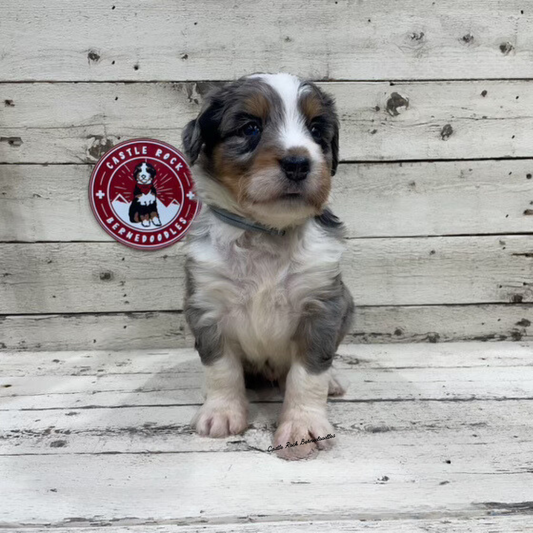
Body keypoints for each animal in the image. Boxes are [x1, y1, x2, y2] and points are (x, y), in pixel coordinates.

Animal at [182, 72, 354, 460]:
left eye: (317, 130)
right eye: (250, 127)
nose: (298, 163)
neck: (265, 233)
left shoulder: (322, 305)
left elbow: (309, 374)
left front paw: (303, 426)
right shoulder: (208, 304)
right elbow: (221, 368)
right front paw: (221, 412)